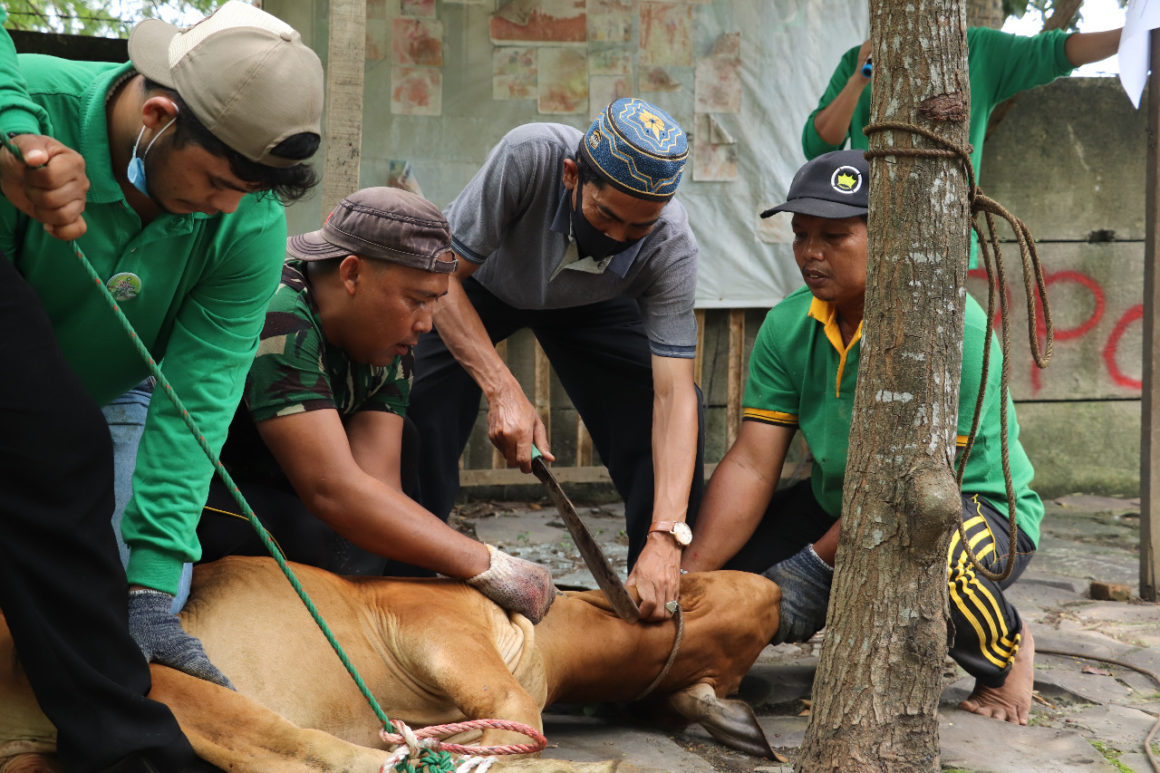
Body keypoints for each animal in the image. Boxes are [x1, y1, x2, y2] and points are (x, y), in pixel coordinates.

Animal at [0, 554, 784, 770]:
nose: (779, 591)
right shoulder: (439, 628)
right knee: (313, 757)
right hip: (167, 680)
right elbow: (516, 724)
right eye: (695, 582)